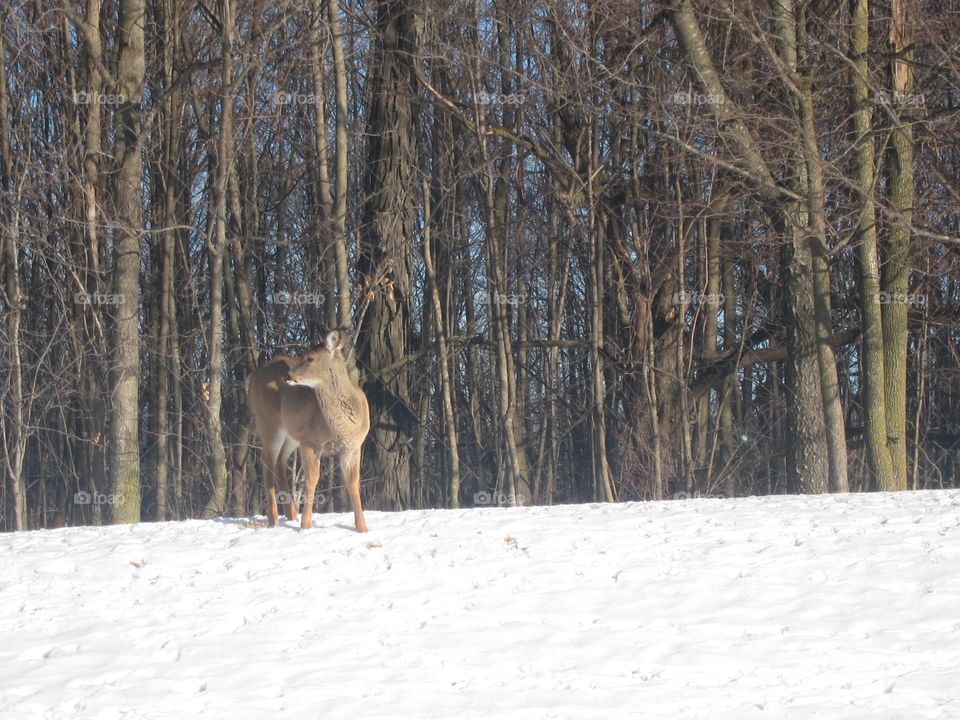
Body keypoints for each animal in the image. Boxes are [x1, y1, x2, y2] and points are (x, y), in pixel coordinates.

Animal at [246, 330, 369, 532]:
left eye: (310, 358)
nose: (287, 376)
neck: (342, 429)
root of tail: (252, 377)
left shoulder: (353, 446)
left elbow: (353, 482)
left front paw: (362, 528)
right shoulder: (311, 441)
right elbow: (311, 480)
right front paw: (306, 525)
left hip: (291, 434)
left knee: (279, 463)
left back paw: (291, 515)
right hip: (268, 421)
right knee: (267, 462)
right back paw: (274, 519)